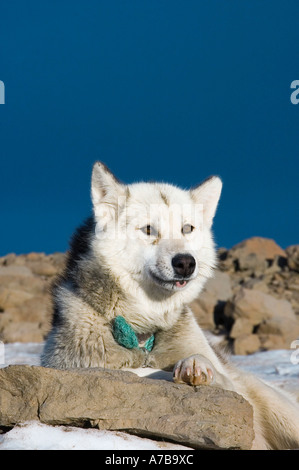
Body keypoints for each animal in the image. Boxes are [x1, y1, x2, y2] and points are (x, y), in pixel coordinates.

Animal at [41, 162, 299, 452]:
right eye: (148, 229)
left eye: (187, 228)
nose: (186, 262)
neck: (144, 337)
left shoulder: (238, 391)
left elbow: (218, 376)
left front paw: (195, 366)